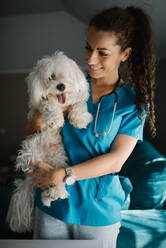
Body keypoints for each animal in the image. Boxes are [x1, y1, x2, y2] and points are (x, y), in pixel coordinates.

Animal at [5, 50, 92, 232]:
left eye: (66, 77)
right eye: (51, 77)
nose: (61, 86)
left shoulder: (76, 99)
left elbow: (79, 103)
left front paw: (80, 119)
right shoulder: (39, 107)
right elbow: (49, 104)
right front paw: (55, 119)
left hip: (58, 160)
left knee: (54, 181)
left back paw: (54, 194)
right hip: (30, 153)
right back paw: (51, 195)